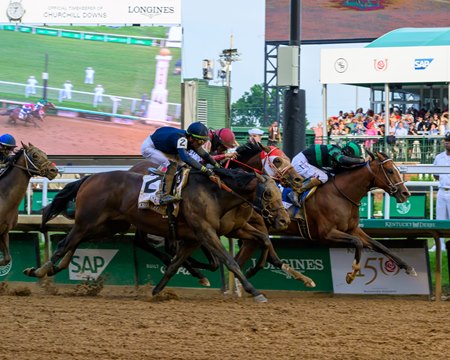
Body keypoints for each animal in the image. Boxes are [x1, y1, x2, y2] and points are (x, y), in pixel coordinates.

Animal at [26, 168, 290, 300]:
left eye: (280, 192)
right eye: (268, 193)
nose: (284, 220)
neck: (215, 193)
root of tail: (89, 177)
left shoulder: (199, 235)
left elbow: (175, 264)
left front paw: (156, 291)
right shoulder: (205, 232)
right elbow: (229, 261)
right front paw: (254, 291)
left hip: (108, 226)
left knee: (75, 241)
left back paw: (51, 269)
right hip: (88, 221)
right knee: (66, 242)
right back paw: (39, 270)